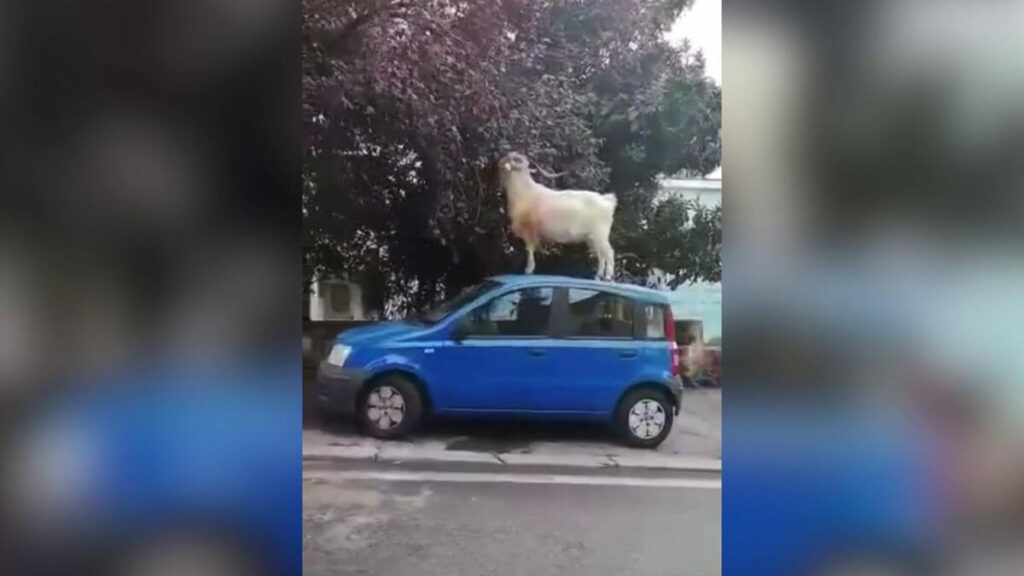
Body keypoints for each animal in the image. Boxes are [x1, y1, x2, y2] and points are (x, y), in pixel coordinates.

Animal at [499, 152, 618, 280]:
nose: (499, 163)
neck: (524, 191)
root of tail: (607, 201)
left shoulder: (529, 230)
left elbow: (529, 249)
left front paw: (528, 269)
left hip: (600, 234)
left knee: (609, 252)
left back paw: (608, 276)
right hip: (592, 238)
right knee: (601, 254)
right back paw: (598, 275)